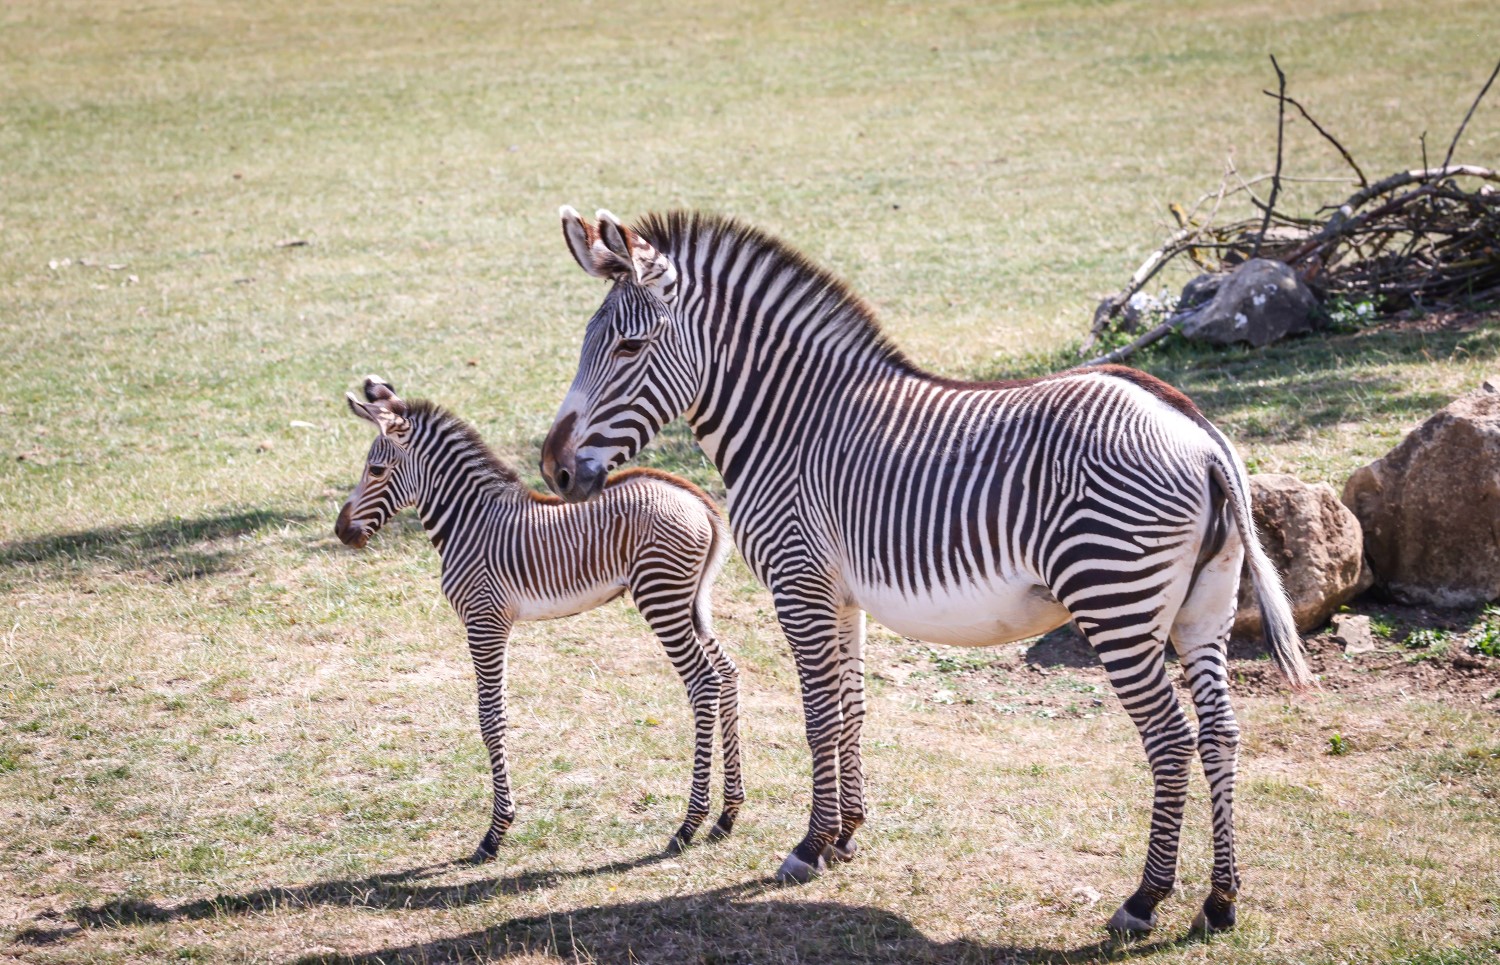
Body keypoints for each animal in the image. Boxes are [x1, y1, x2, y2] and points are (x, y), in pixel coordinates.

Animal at [336, 378, 744, 858]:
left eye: (377, 470)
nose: (341, 532)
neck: (468, 522)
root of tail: (697, 501)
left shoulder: (485, 621)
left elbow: (490, 717)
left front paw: (496, 832)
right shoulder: (492, 622)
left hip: (661, 597)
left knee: (704, 682)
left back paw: (688, 824)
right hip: (691, 601)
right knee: (728, 672)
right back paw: (727, 814)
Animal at [540, 205, 1314, 936]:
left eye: (629, 346)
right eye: (586, 343)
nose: (553, 470)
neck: (790, 423)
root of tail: (1197, 432)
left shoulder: (797, 581)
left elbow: (819, 715)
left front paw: (807, 846)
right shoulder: (839, 593)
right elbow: (851, 707)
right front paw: (845, 835)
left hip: (1115, 596)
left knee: (1172, 738)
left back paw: (1145, 899)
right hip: (1205, 606)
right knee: (1221, 734)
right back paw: (1219, 901)